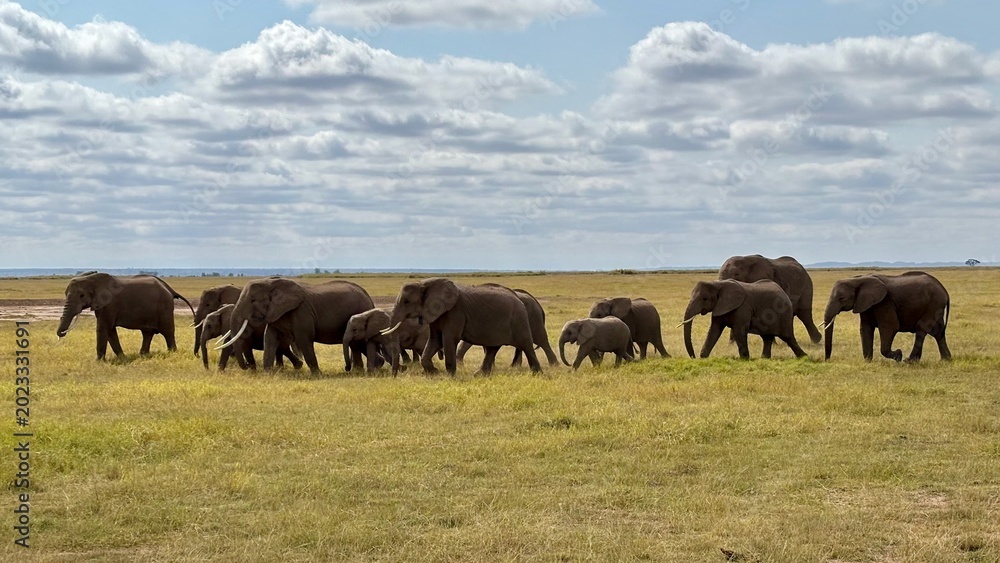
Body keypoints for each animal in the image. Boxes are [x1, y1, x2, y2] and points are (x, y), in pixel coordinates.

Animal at [56, 271, 195, 360]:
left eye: (82, 295)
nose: (61, 334)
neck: (91, 279)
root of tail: (170, 289)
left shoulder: (109, 304)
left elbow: (103, 328)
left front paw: (99, 361)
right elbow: (110, 330)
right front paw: (122, 358)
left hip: (164, 307)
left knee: (168, 332)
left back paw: (172, 353)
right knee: (147, 333)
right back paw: (143, 355)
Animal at [215, 277, 375, 374]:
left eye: (253, 300)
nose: (247, 367)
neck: (272, 282)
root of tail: (368, 296)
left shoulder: (302, 312)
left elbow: (304, 339)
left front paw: (317, 375)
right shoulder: (277, 313)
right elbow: (270, 338)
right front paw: (268, 374)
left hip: (361, 310)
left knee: (357, 344)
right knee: (355, 345)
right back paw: (357, 372)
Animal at [383, 278, 542, 375]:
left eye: (406, 301)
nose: (395, 374)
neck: (424, 283)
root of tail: (518, 297)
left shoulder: (455, 312)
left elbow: (449, 339)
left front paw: (450, 376)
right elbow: (435, 340)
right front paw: (434, 373)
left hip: (518, 319)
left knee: (526, 344)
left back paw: (537, 374)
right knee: (492, 348)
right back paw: (479, 375)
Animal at [822, 271, 951, 362]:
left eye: (841, 298)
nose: (827, 360)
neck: (857, 279)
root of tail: (944, 290)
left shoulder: (884, 302)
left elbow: (889, 328)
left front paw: (898, 355)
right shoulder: (866, 304)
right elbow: (865, 328)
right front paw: (868, 361)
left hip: (934, 304)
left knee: (921, 329)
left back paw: (909, 361)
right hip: (936, 306)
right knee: (938, 332)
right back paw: (946, 360)